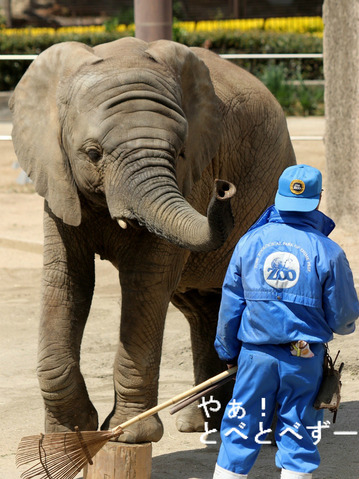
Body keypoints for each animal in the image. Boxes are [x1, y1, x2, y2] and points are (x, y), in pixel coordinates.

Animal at [9, 35, 296, 444]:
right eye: (92, 153)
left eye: (180, 152)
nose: (224, 188)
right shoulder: (57, 178)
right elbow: (66, 281)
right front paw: (68, 435)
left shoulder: (192, 181)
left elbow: (145, 282)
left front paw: (128, 435)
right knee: (203, 307)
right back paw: (200, 425)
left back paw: (261, 433)